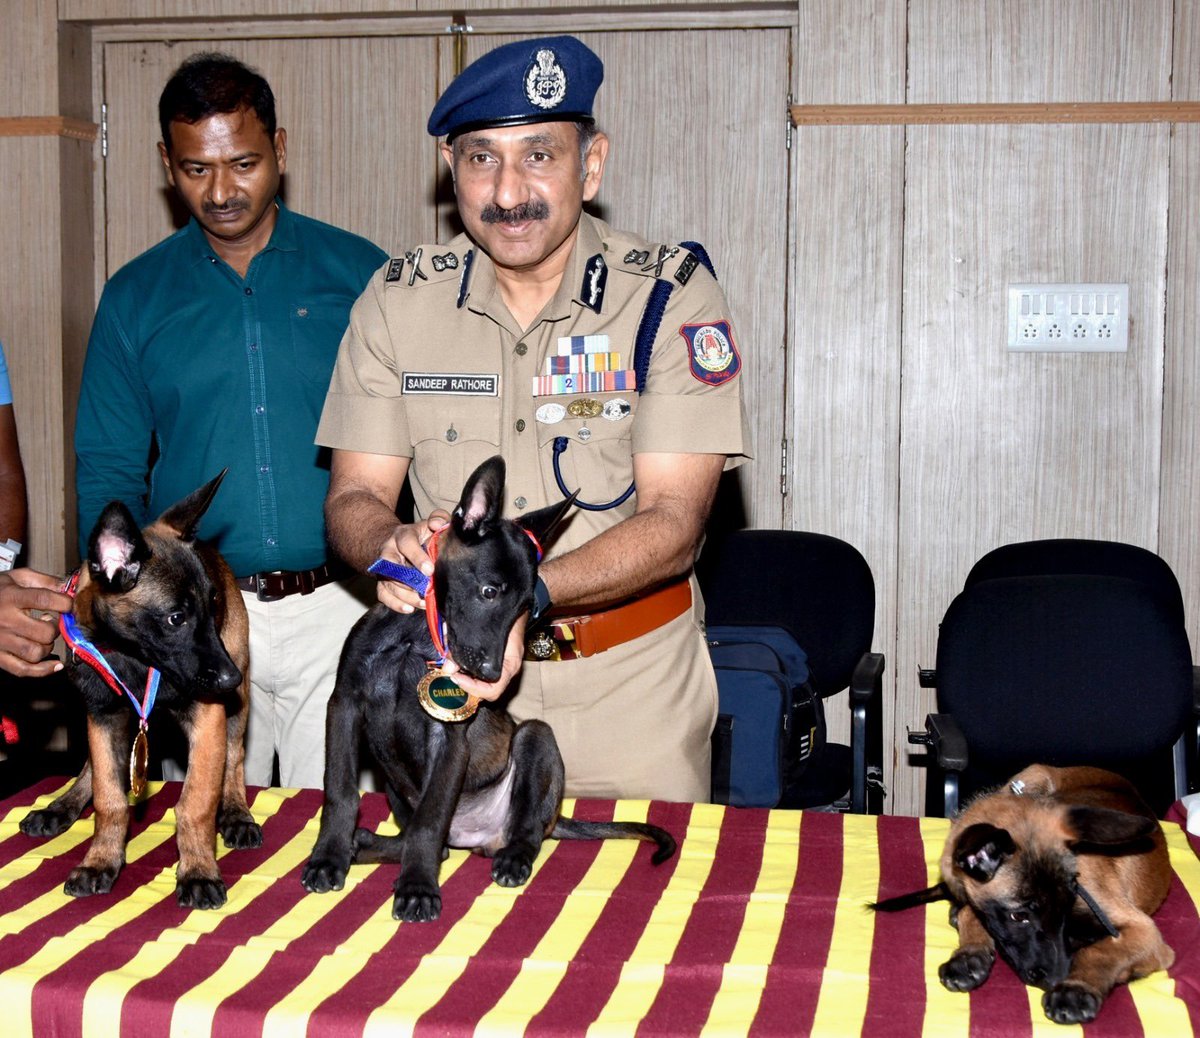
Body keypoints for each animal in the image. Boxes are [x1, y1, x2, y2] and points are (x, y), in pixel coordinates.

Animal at [18, 472, 264, 907]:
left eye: (212, 603)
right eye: (176, 618)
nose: (230, 681)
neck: (134, 658)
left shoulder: (208, 716)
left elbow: (196, 800)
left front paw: (198, 870)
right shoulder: (102, 714)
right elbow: (109, 796)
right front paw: (100, 860)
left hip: (236, 707)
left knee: (234, 759)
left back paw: (236, 813)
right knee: (93, 768)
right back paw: (62, 806)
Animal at [300, 458, 676, 921]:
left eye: (525, 608)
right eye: (489, 591)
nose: (493, 673)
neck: (414, 633)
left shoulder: (448, 737)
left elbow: (429, 820)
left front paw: (417, 887)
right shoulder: (345, 705)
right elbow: (340, 791)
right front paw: (329, 856)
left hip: (534, 740)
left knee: (521, 832)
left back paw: (512, 857)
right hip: (394, 785)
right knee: (434, 845)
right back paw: (364, 843)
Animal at [873, 763, 1171, 1022]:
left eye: (1067, 906)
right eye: (1019, 916)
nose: (1055, 979)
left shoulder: (1146, 934)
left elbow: (1101, 951)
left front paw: (1076, 988)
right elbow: (974, 913)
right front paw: (970, 954)